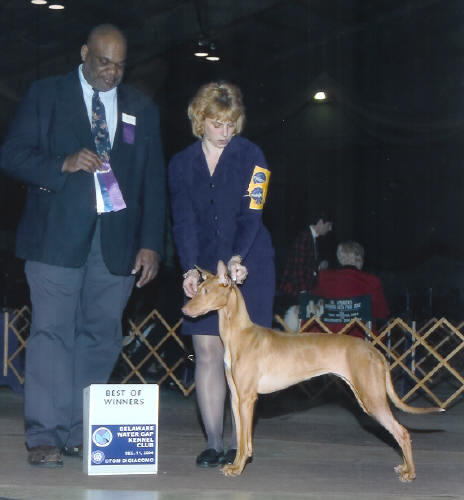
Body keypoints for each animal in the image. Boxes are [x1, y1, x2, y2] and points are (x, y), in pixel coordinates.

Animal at [181, 260, 442, 482]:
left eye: (206, 292)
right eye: (198, 288)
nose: (184, 310)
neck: (240, 334)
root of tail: (375, 351)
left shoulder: (247, 398)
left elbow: (244, 440)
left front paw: (237, 469)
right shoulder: (236, 398)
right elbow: (243, 438)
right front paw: (236, 464)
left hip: (371, 398)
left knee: (402, 432)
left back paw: (410, 473)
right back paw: (405, 467)